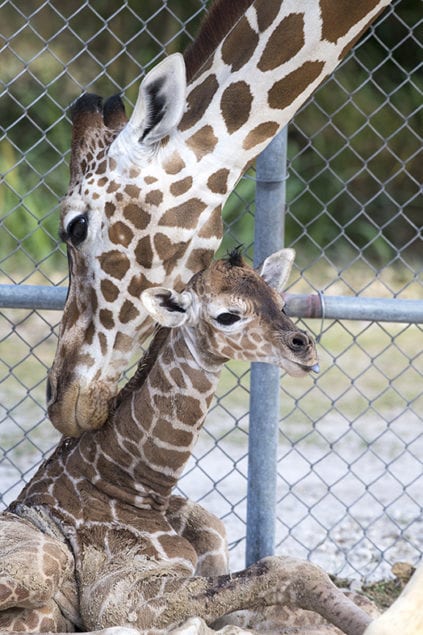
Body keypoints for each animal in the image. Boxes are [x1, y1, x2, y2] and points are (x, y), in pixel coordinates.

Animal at [0, 251, 372, 635]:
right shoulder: (118, 598)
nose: (304, 348)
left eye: (281, 303)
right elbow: (290, 569)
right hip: (48, 561)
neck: (139, 487)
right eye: (228, 316)